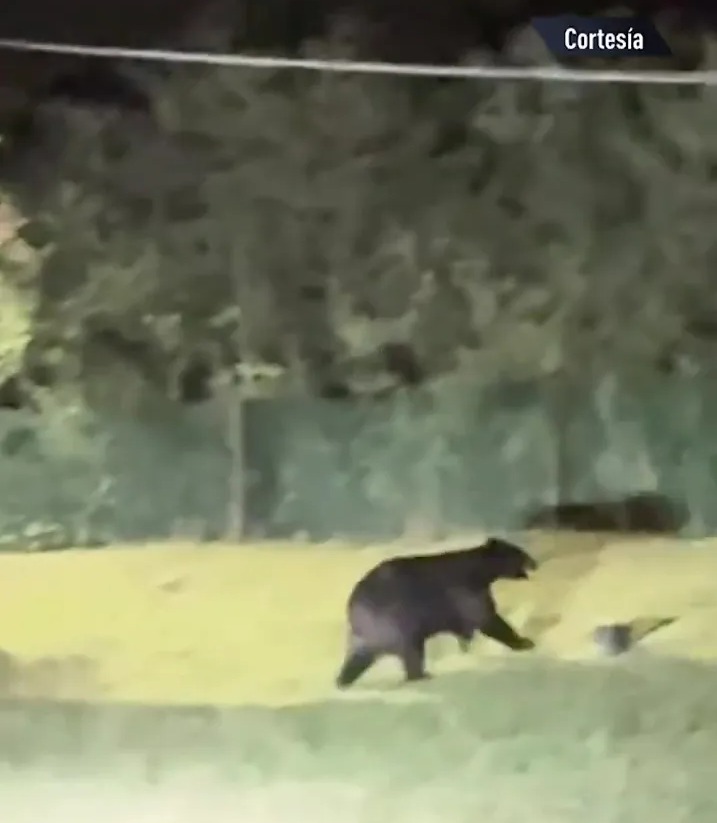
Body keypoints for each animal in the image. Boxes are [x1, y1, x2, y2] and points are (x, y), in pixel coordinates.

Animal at [336, 536, 536, 688]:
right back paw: (422, 675)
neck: (479, 573)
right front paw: (524, 642)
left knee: (356, 659)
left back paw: (342, 681)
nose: (534, 562)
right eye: (518, 551)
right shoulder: (464, 592)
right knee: (412, 652)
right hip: (396, 620)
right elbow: (487, 619)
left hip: (367, 636)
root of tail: (353, 607)